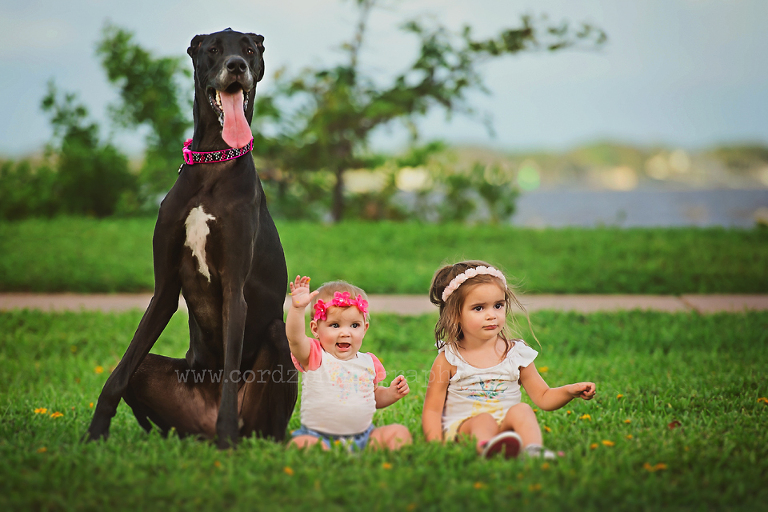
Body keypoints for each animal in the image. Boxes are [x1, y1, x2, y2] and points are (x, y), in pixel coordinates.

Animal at [85, 29, 297, 449]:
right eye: (213, 49)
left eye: (250, 50)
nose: (237, 66)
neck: (214, 162)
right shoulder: (165, 288)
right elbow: (119, 372)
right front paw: (95, 433)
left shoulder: (234, 291)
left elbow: (231, 371)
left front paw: (228, 439)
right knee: (138, 374)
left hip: (277, 342)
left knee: (272, 422)